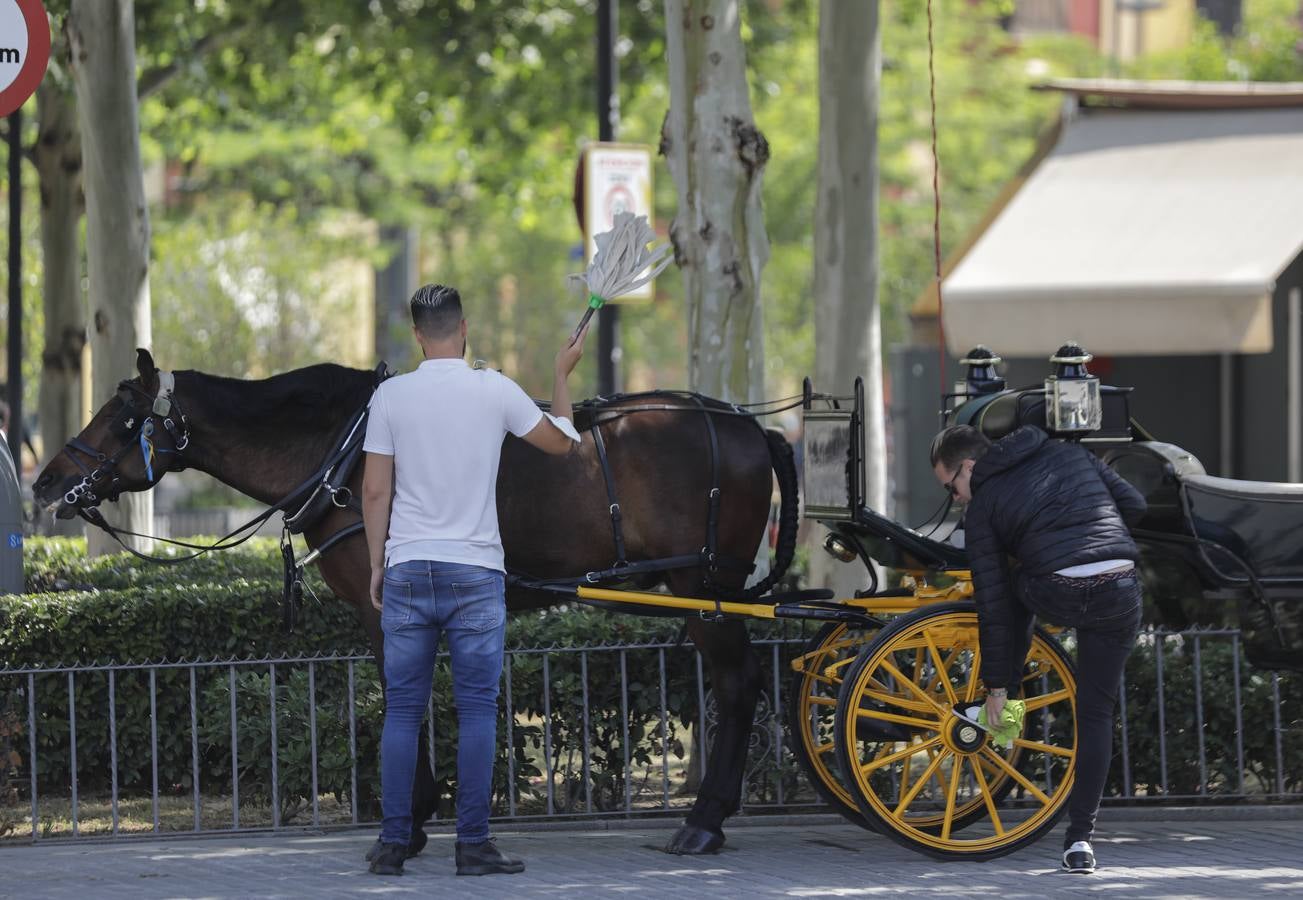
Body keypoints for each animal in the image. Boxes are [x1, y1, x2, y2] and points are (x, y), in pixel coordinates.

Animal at [33, 349, 792, 854]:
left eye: (120, 416)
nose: (45, 482)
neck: (342, 451)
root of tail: (750, 428)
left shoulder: (385, 605)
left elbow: (407, 692)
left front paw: (416, 811)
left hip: (703, 588)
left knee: (738, 684)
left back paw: (704, 821)